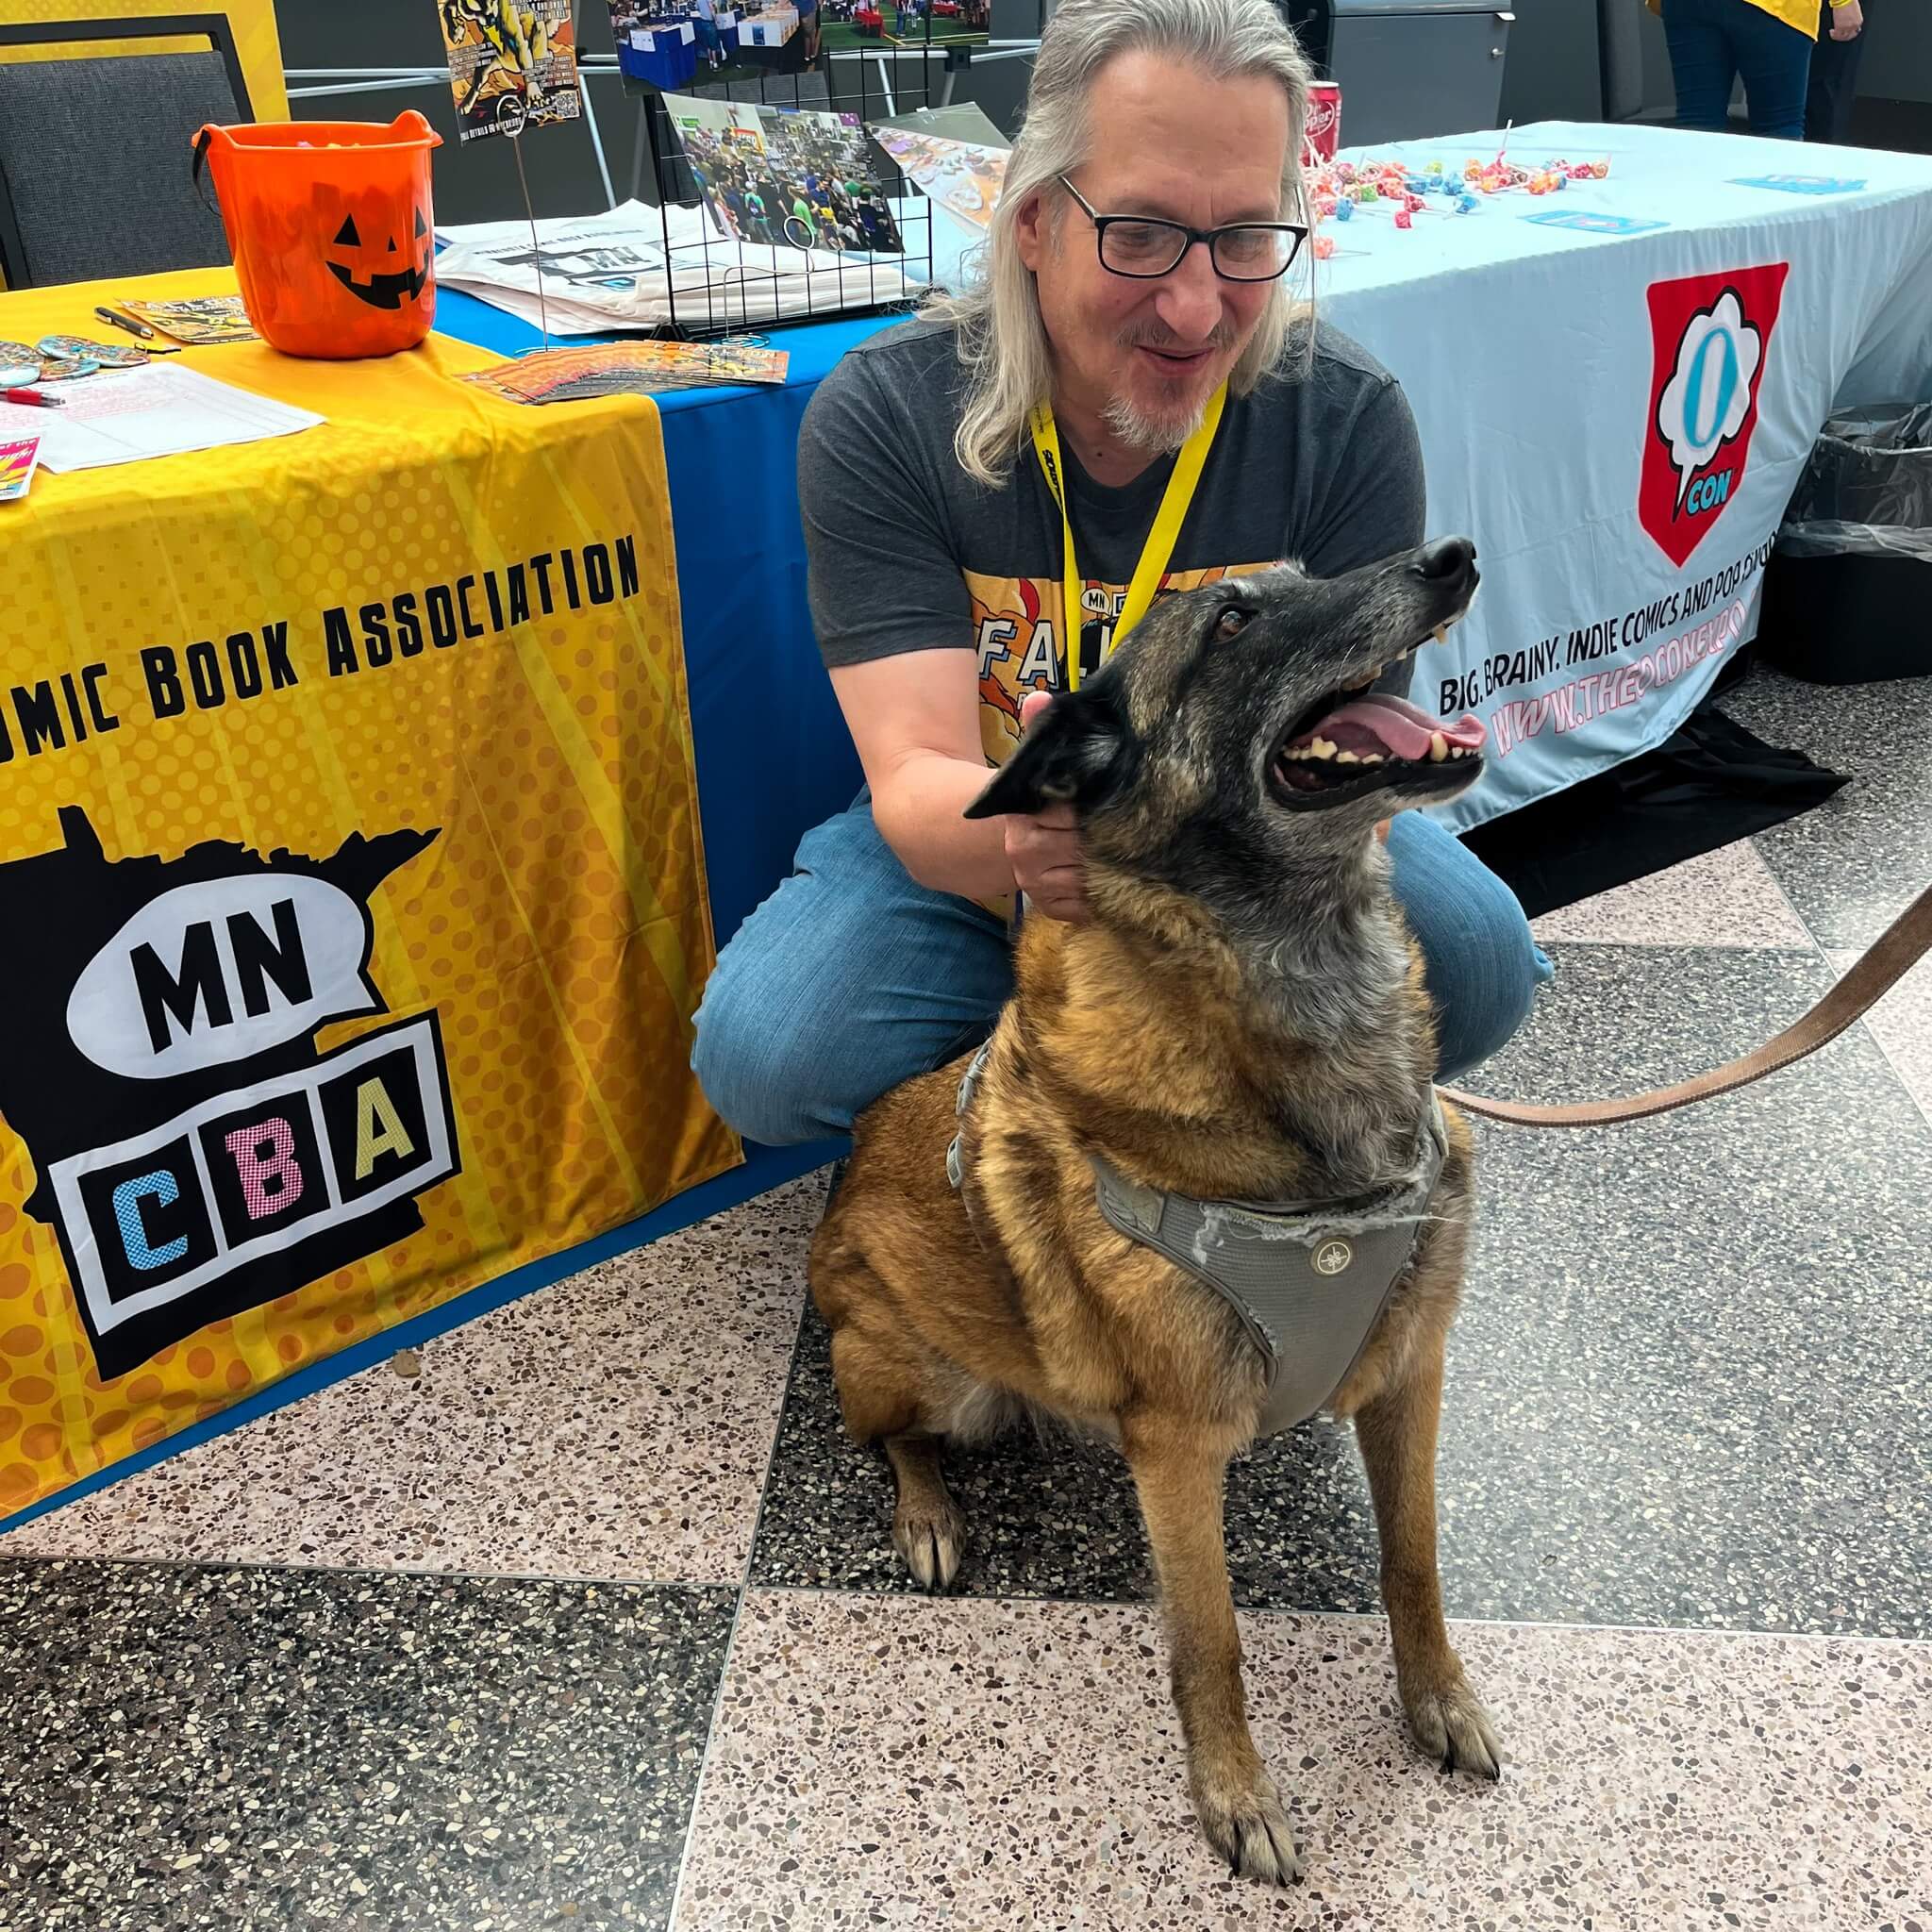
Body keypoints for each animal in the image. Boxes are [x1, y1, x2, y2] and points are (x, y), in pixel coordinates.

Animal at [808, 537, 1499, 1877]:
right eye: (1228, 622)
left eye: (1314, 571)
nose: (1450, 558)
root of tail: (832, 1210)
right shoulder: (1175, 1446)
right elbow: (1209, 1639)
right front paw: (1234, 1792)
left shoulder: (1412, 1369)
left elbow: (1415, 1558)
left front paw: (1435, 1696)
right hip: (927, 1372)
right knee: (889, 1436)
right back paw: (926, 1514)